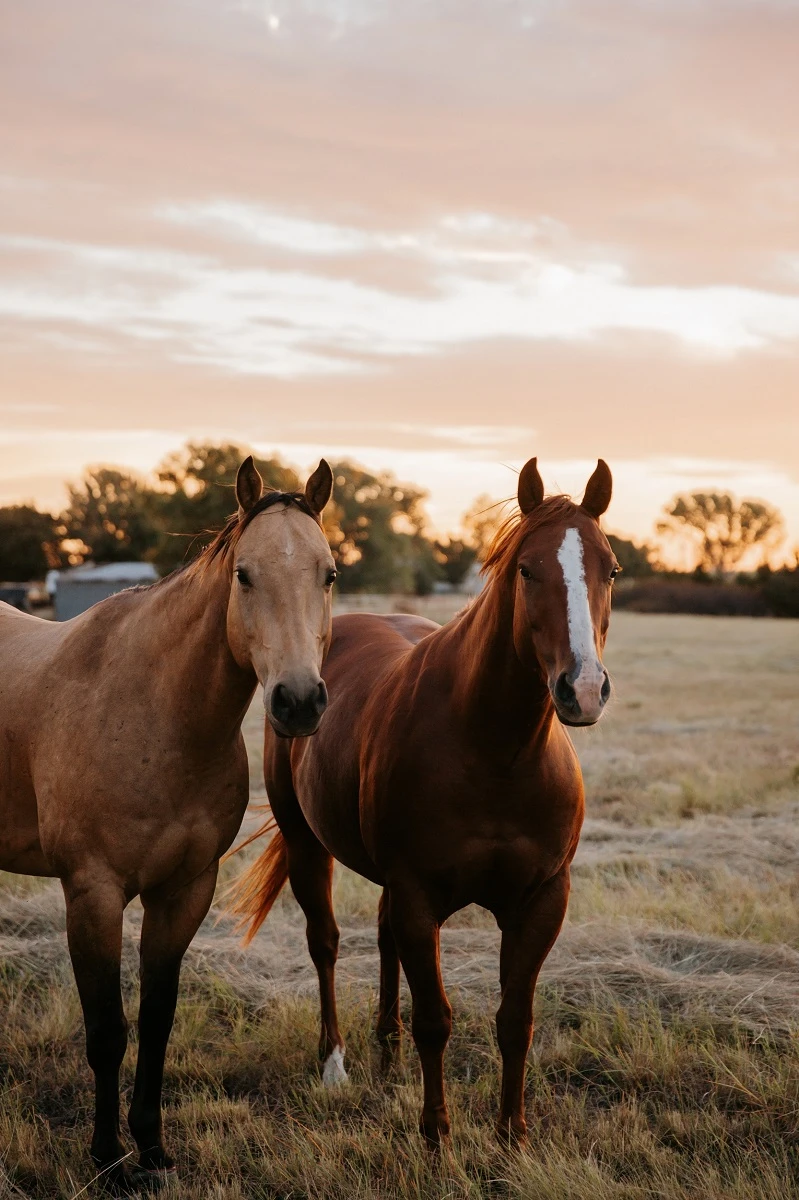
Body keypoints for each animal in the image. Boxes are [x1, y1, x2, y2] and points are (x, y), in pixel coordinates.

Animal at [0, 455, 336, 1192]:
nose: (298, 702)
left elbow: (156, 1021)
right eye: (244, 574)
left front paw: (151, 1148)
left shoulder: (184, 891)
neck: (154, 712)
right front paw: (106, 1157)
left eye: (328, 574)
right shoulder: (92, 893)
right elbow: (107, 1031)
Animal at [230, 456, 618, 1147]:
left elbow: (515, 1019)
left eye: (612, 570)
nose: (583, 689)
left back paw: (387, 1048)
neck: (493, 751)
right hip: (306, 844)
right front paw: (436, 1133)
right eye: (527, 569)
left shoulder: (542, 900)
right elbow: (436, 1020)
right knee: (326, 943)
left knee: (384, 939)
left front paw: (512, 1134)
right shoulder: (419, 897)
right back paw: (336, 1064)